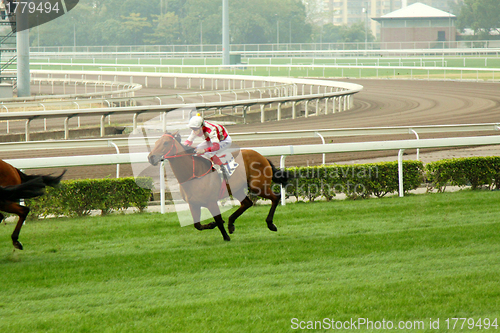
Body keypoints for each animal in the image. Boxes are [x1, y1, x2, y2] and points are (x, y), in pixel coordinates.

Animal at [147, 132, 290, 241]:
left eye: (165, 143)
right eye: (156, 143)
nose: (151, 157)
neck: (193, 175)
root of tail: (262, 157)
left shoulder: (211, 202)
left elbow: (218, 219)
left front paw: (225, 236)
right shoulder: (193, 204)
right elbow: (197, 225)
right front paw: (213, 224)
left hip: (258, 186)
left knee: (275, 198)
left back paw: (270, 224)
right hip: (237, 188)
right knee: (247, 203)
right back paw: (231, 223)